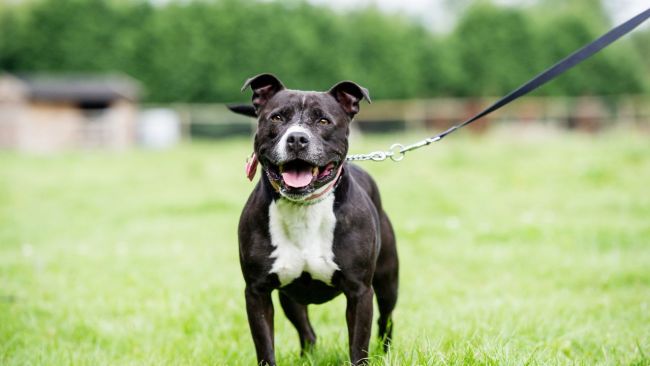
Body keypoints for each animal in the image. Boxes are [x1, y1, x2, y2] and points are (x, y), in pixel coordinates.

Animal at [230, 74, 398, 366]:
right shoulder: (257, 292)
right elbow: (265, 347)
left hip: (387, 281)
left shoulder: (359, 292)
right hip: (291, 297)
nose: (297, 138)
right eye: (277, 118)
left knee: (386, 320)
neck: (303, 207)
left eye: (323, 121)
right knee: (307, 331)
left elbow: (358, 347)